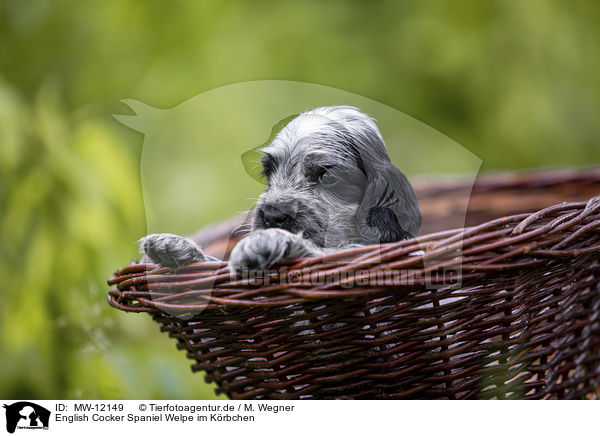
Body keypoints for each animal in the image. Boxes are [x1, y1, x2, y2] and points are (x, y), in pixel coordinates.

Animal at [141, 106, 422, 274]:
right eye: (268, 173)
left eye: (327, 176)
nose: (272, 216)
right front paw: (172, 245)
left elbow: (326, 252)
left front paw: (266, 241)